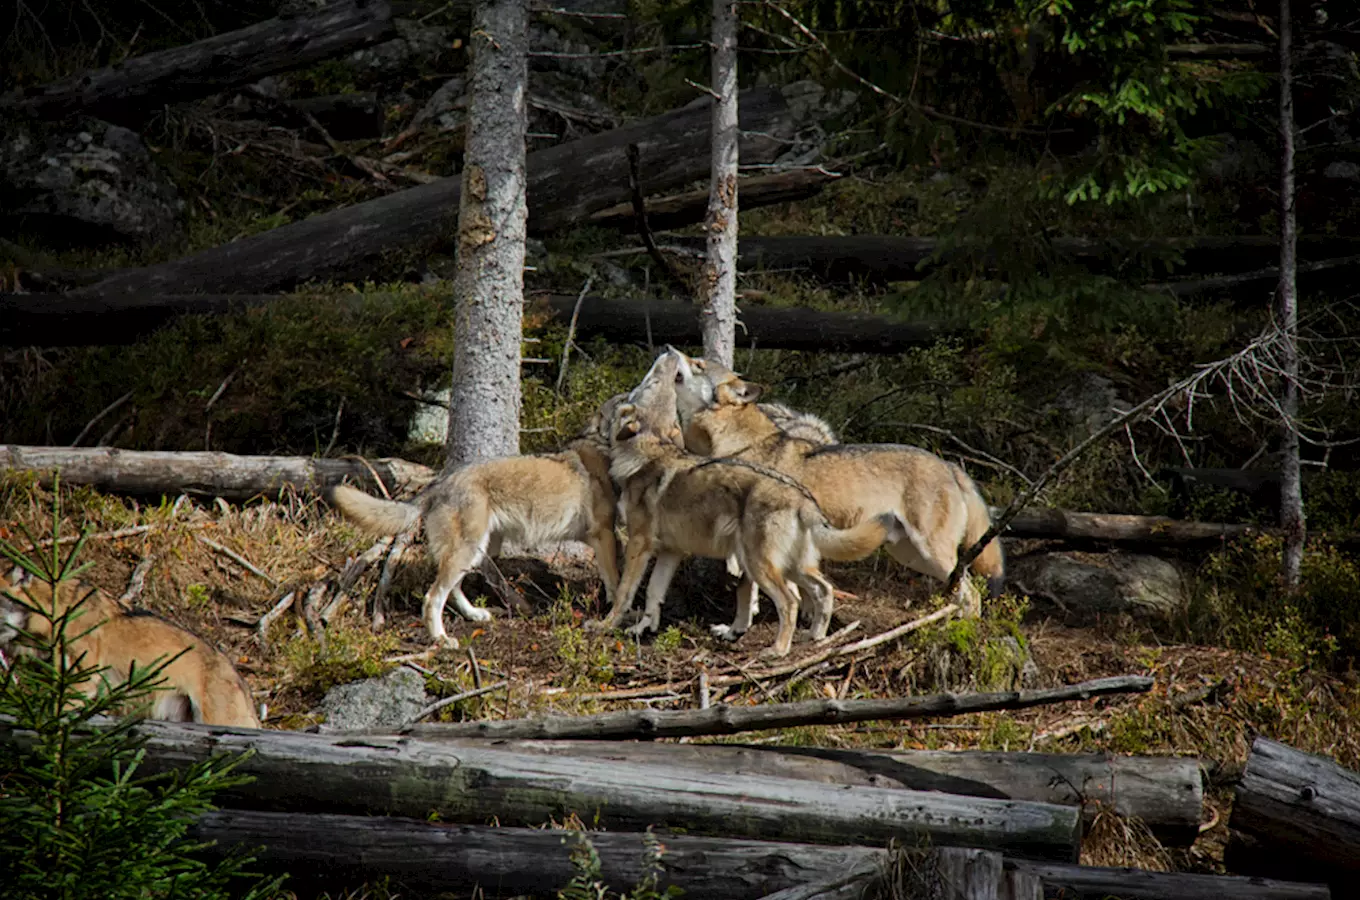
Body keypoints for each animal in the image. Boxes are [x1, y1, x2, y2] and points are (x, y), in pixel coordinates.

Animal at [326, 396, 622, 649]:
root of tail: (442, 482)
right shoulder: (605, 536)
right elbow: (616, 583)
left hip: (478, 551)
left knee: (454, 588)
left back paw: (474, 615)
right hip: (468, 550)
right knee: (433, 598)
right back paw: (442, 640)